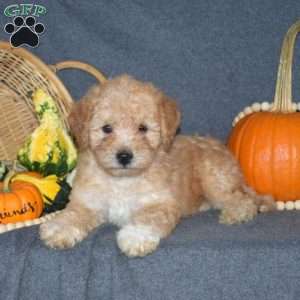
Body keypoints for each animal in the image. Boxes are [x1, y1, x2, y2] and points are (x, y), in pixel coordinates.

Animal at [39, 74, 274, 256]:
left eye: (143, 128)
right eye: (107, 129)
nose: (124, 156)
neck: (122, 181)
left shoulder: (161, 203)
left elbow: (148, 219)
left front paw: (135, 237)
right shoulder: (87, 202)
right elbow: (73, 214)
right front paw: (59, 229)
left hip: (215, 181)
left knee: (241, 199)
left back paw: (236, 213)